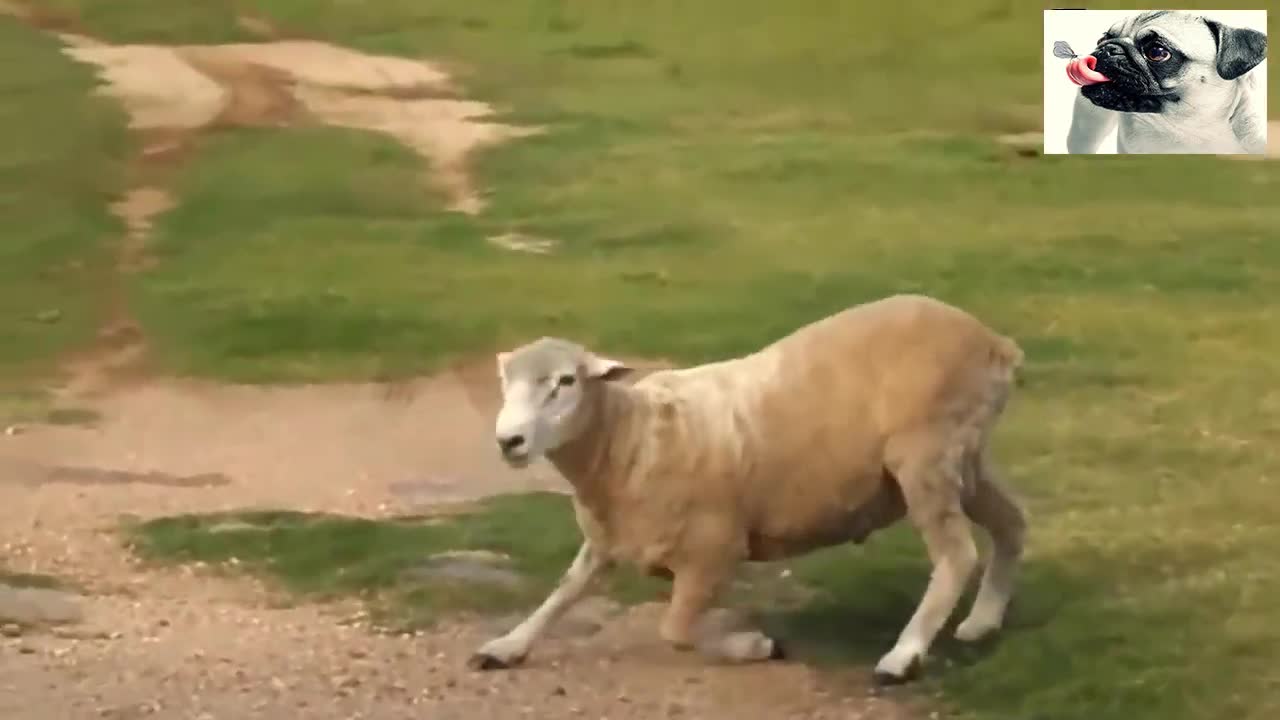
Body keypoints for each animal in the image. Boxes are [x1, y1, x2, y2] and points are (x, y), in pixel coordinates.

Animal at [471, 293, 1027, 684]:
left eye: (566, 381)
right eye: (505, 383)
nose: (508, 441)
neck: (625, 439)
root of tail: (995, 342)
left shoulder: (713, 550)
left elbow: (675, 632)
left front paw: (757, 647)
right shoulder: (607, 539)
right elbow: (564, 591)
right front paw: (507, 646)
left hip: (926, 454)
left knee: (956, 553)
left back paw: (902, 656)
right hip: (967, 457)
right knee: (1012, 523)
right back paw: (982, 622)